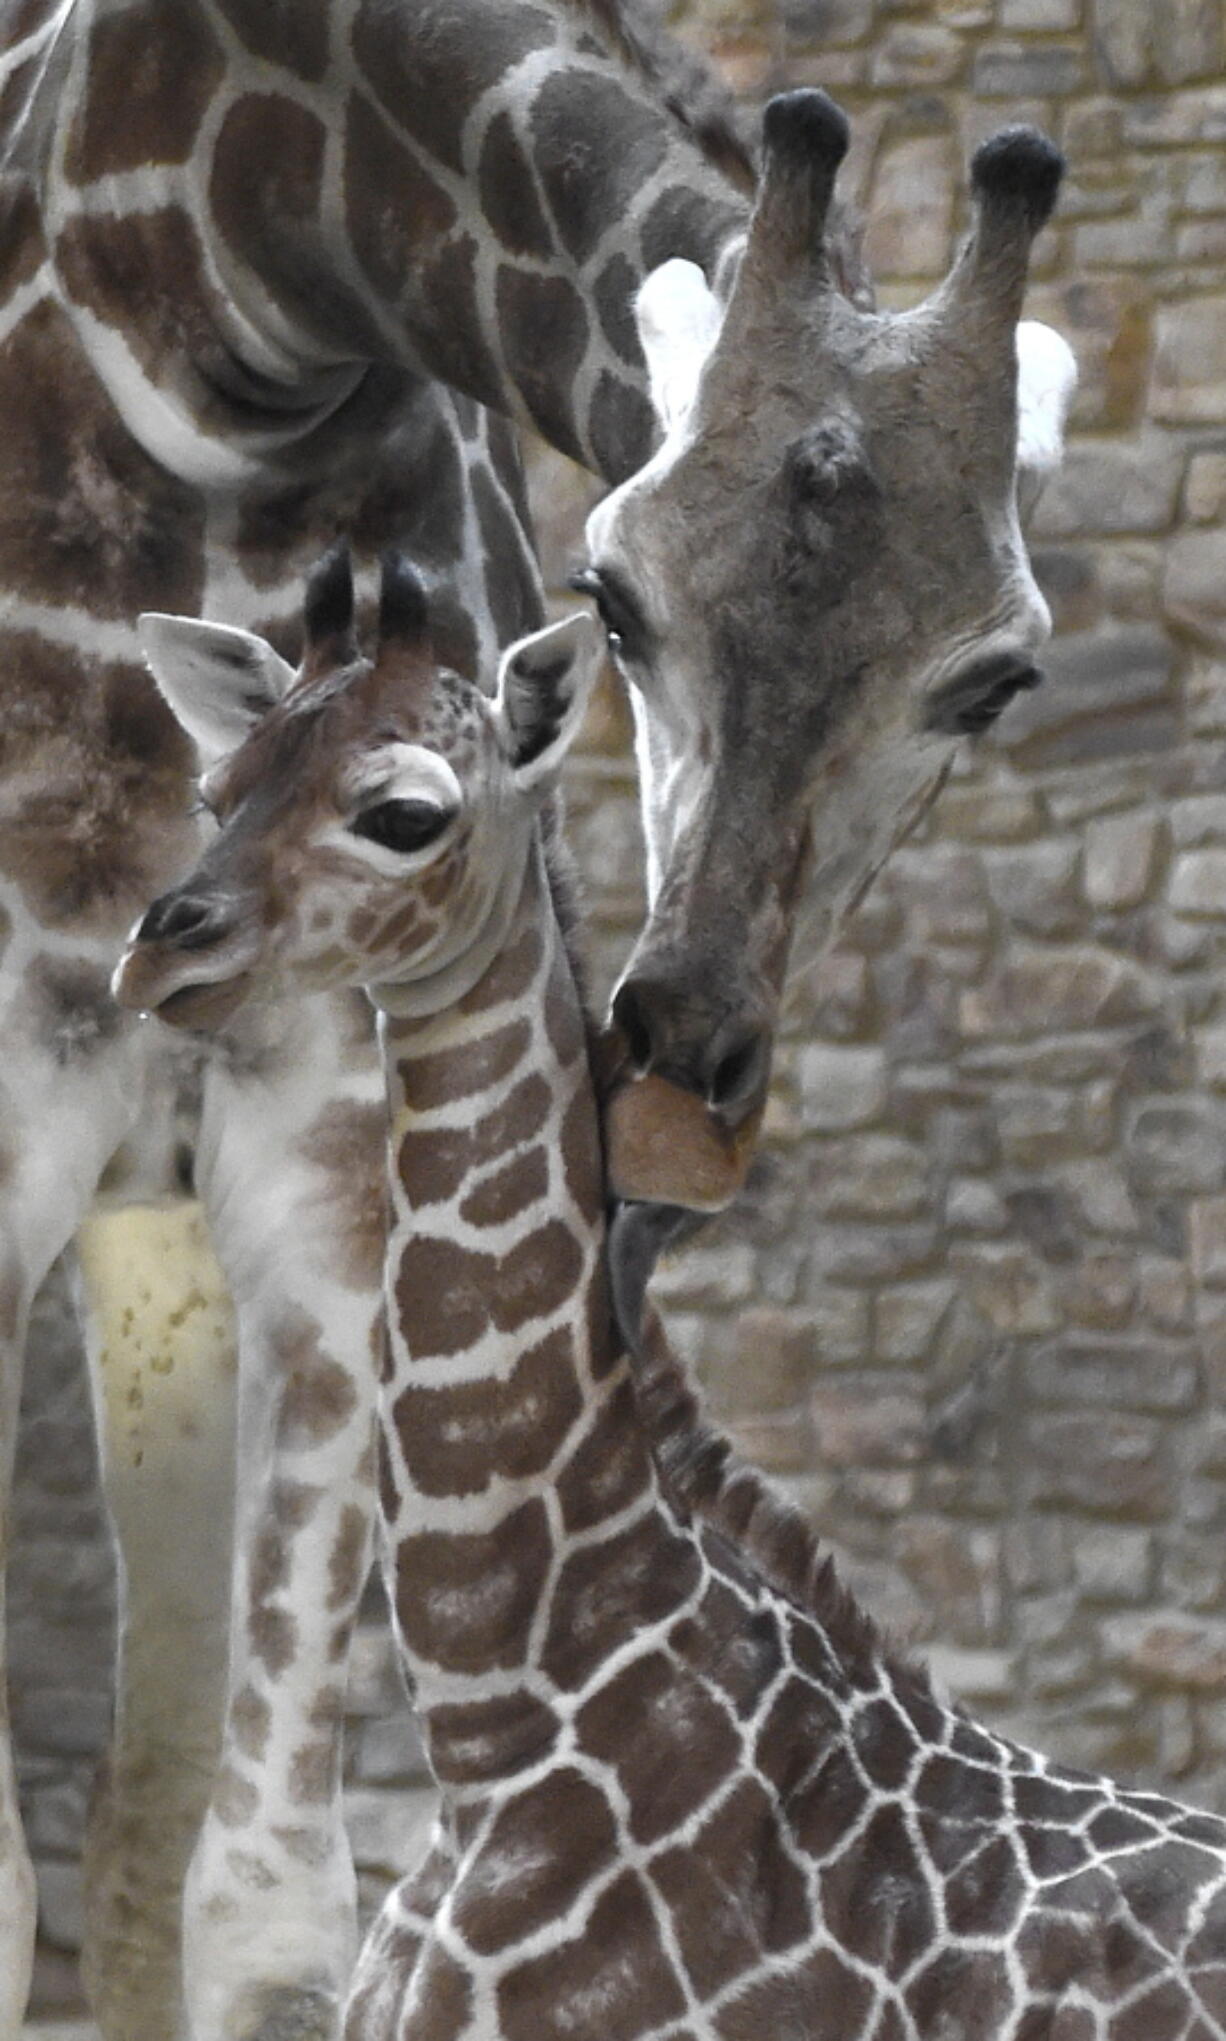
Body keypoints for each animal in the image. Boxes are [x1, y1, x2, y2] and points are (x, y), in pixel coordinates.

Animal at [0, 3, 1068, 2040]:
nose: (671, 1081)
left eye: (990, 680)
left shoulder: (329, 1184)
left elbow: (267, 1901)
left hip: (161, 1250)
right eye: (611, 592)